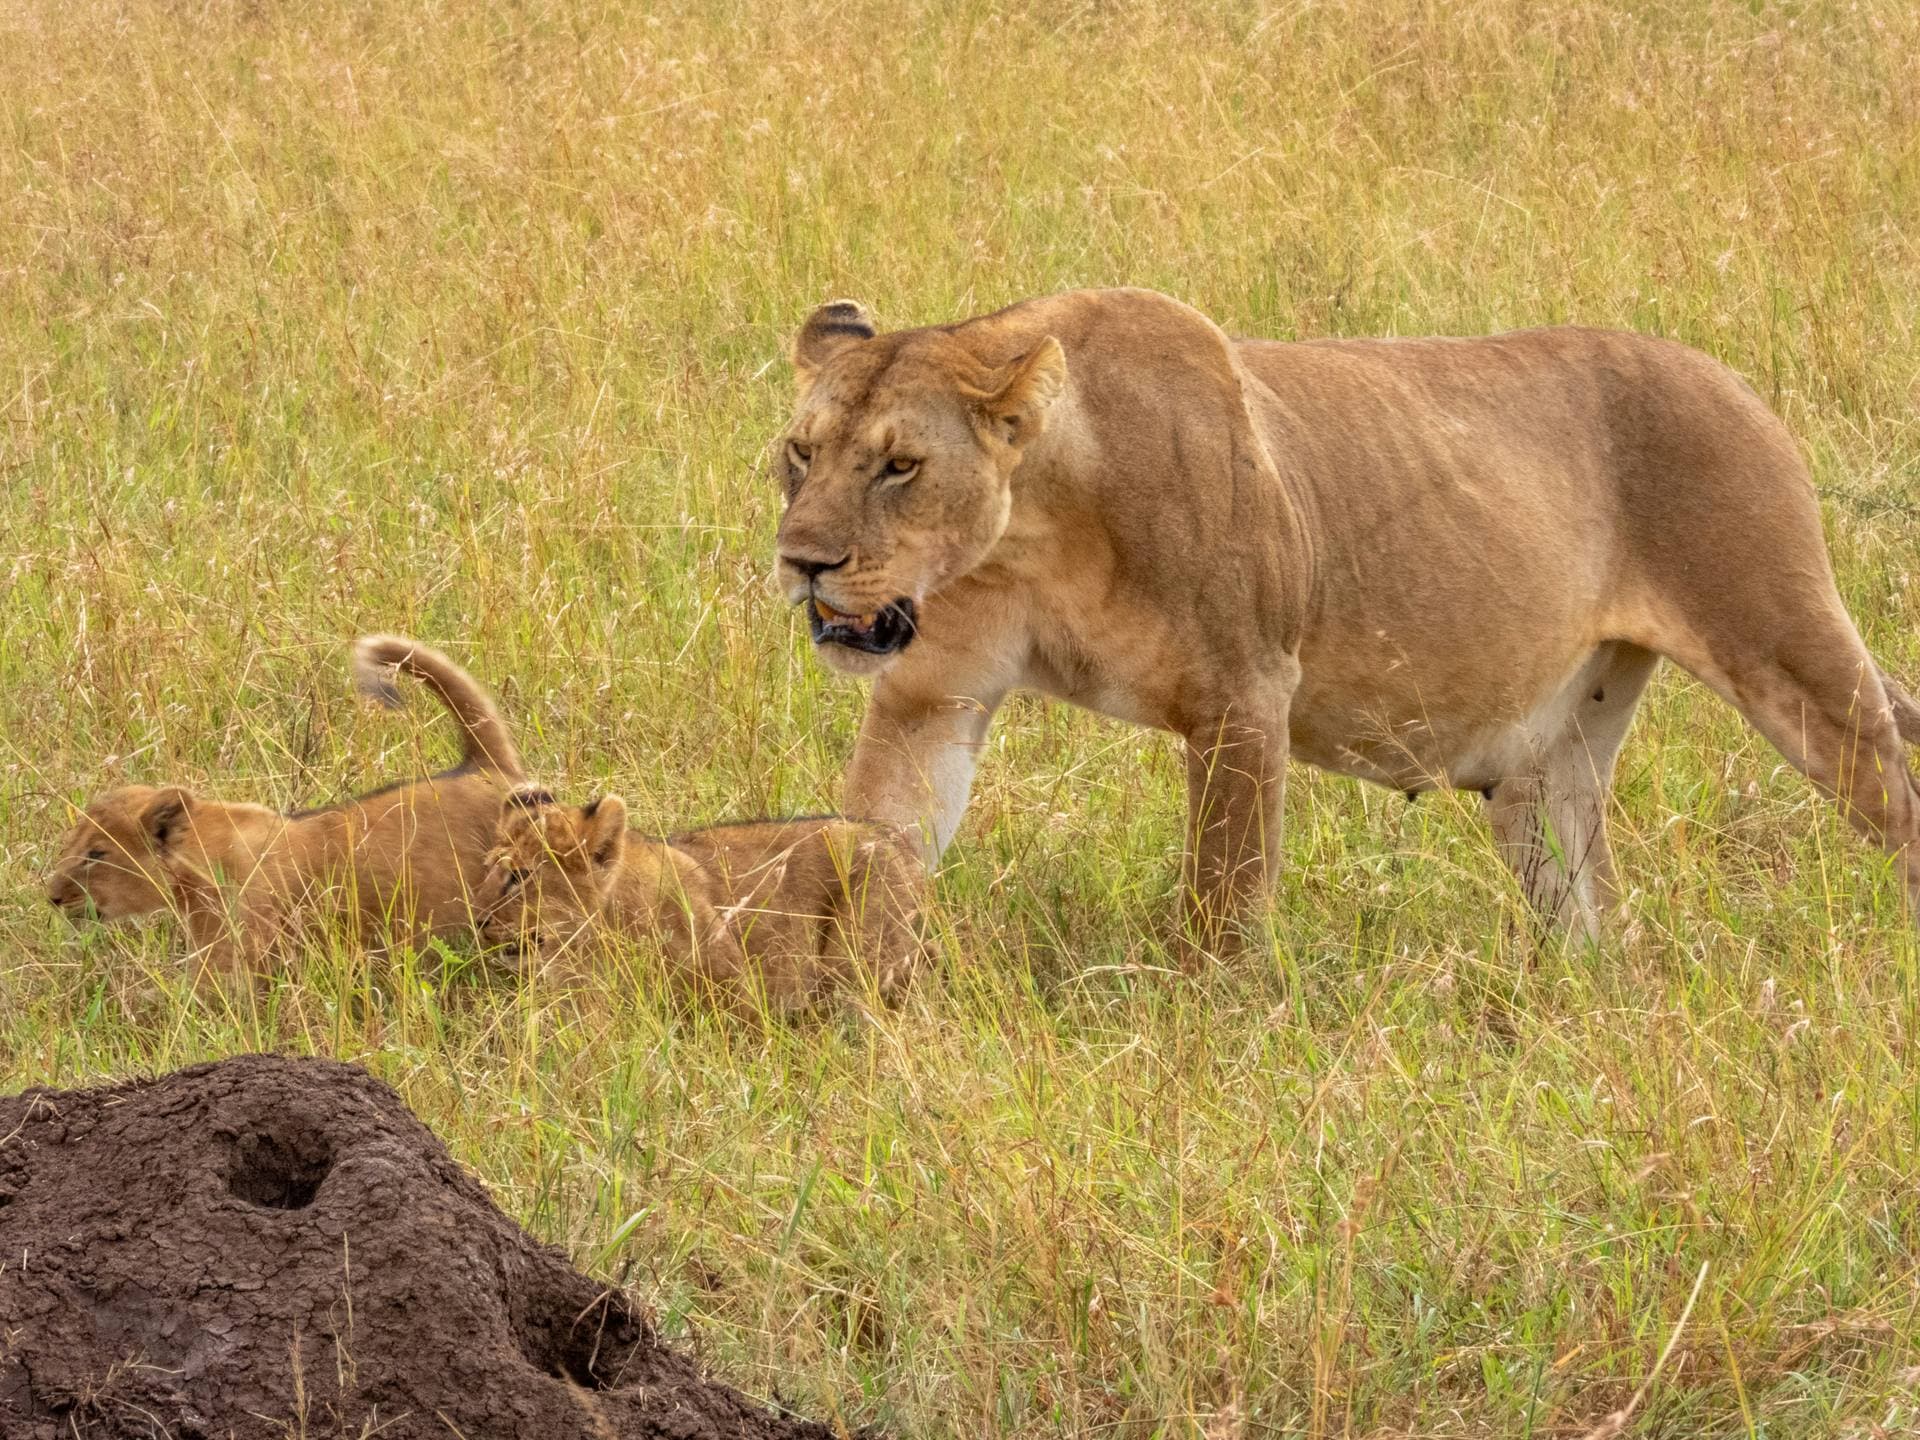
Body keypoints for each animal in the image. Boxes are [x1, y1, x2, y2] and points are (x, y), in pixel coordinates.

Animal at [476, 787, 924, 1009]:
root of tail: (892, 839)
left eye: (520, 876)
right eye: (490, 869)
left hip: (855, 960)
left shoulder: (737, 988)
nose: (478, 923)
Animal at [771, 287, 1920, 948]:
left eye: (900, 466)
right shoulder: (931, 693)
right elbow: (873, 846)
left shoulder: (1244, 693)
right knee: (1590, 915)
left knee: (1896, 794)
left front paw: (1205, 1036)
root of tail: (1737, 383)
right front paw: (849, 1007)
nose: (802, 563)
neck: (1034, 529)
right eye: (801, 451)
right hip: (1549, 764)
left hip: (1792, 650)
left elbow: (1223, 896)